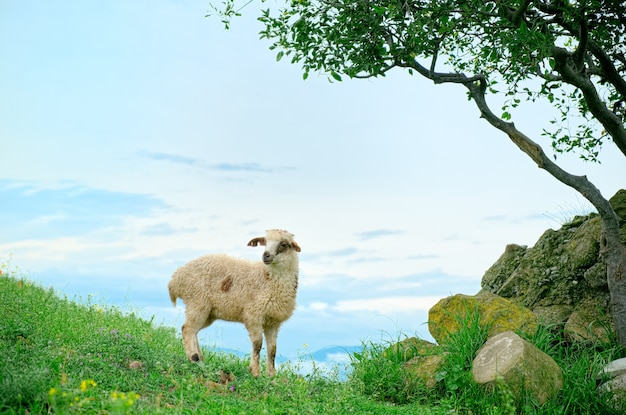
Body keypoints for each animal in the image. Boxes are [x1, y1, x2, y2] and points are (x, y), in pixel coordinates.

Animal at [167, 229, 302, 378]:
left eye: (283, 244)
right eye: (265, 242)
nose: (266, 255)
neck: (267, 278)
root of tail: (176, 278)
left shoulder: (273, 322)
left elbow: (272, 350)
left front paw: (271, 376)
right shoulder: (253, 315)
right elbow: (257, 344)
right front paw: (255, 372)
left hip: (208, 313)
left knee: (194, 331)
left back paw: (200, 359)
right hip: (197, 302)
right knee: (187, 329)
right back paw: (194, 359)